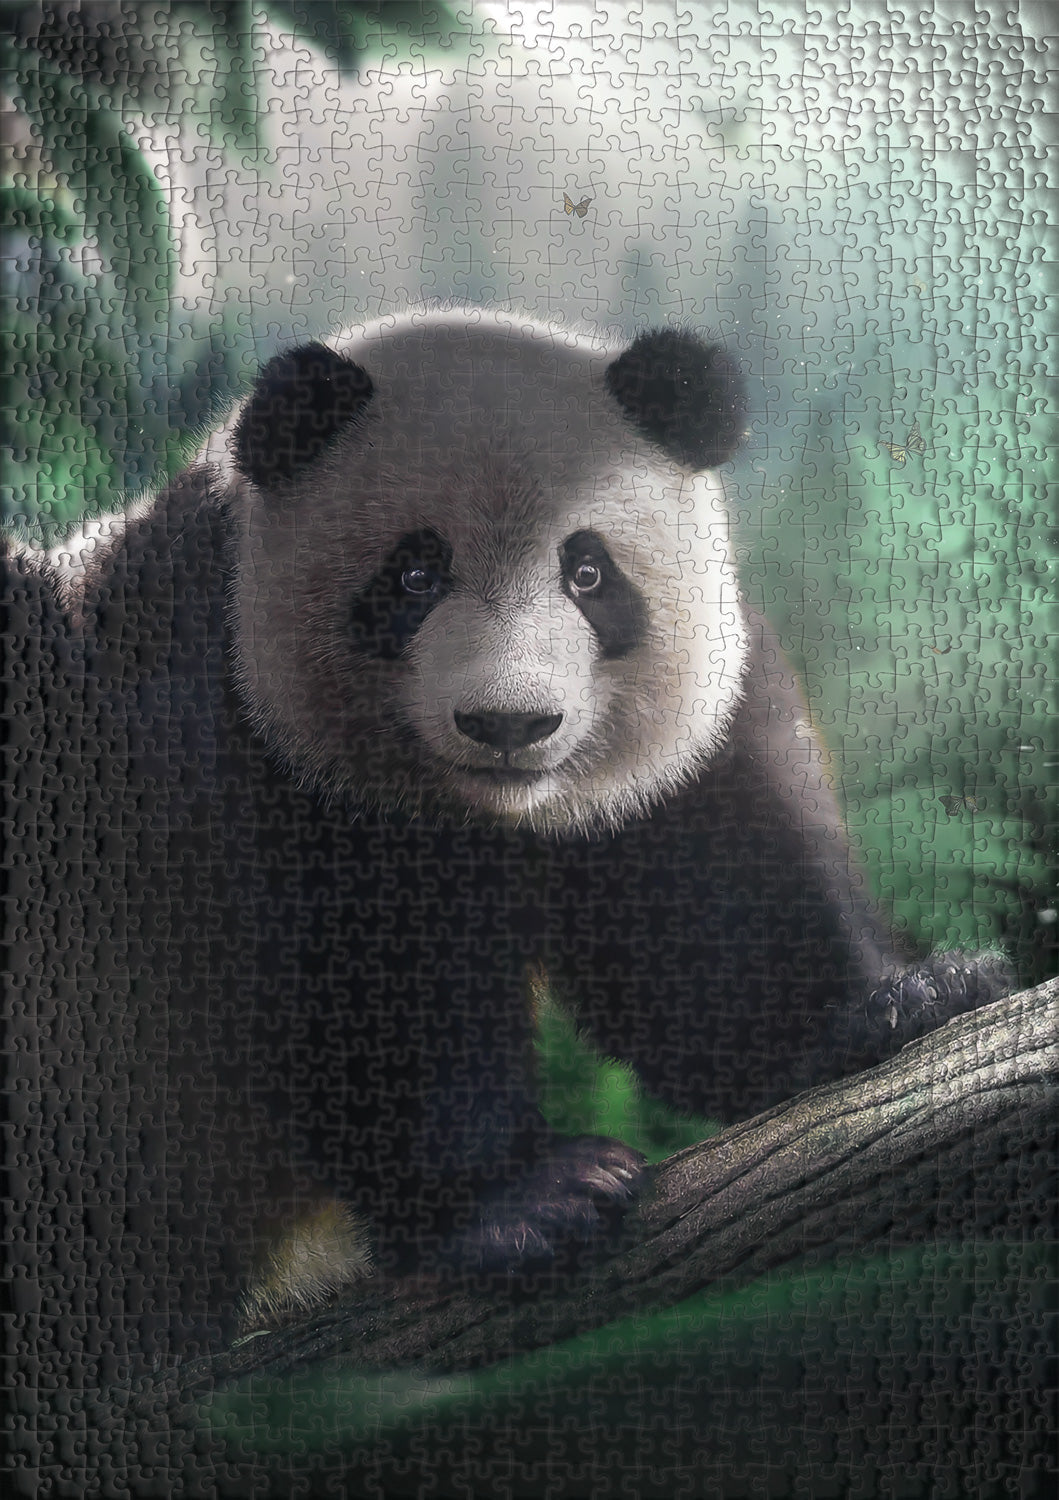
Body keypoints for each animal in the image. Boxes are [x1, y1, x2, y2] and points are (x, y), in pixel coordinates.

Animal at [11, 307, 1008, 1351]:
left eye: (587, 572)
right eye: (414, 574)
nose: (508, 725)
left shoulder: (658, 761)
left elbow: (706, 940)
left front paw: (906, 1001)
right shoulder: (216, 729)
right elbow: (344, 984)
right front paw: (525, 1202)